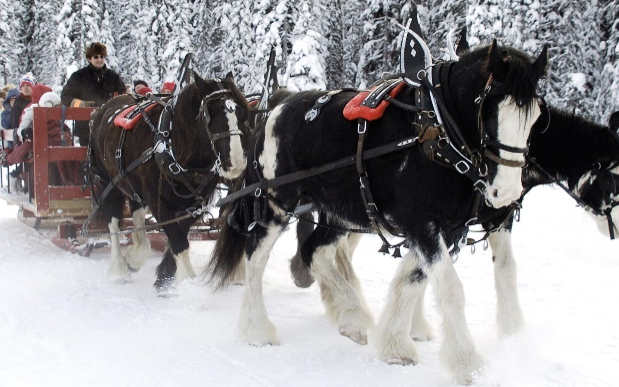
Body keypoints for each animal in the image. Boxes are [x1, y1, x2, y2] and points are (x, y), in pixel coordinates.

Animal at [89, 73, 249, 294]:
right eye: (211, 112)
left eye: (242, 112)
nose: (236, 162)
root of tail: (104, 106)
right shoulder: (158, 202)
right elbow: (179, 241)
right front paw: (188, 282)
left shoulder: (195, 204)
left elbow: (178, 235)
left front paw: (165, 274)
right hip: (109, 183)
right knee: (113, 223)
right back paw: (119, 269)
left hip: (132, 184)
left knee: (137, 214)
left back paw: (135, 254)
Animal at [209, 43, 548, 384]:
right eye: (488, 109)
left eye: (536, 116)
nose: (506, 193)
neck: (436, 131)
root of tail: (276, 107)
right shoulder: (421, 224)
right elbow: (450, 288)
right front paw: (468, 364)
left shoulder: (446, 229)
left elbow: (413, 280)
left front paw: (396, 344)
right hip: (276, 205)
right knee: (256, 258)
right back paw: (257, 329)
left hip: (339, 212)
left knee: (314, 250)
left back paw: (352, 316)